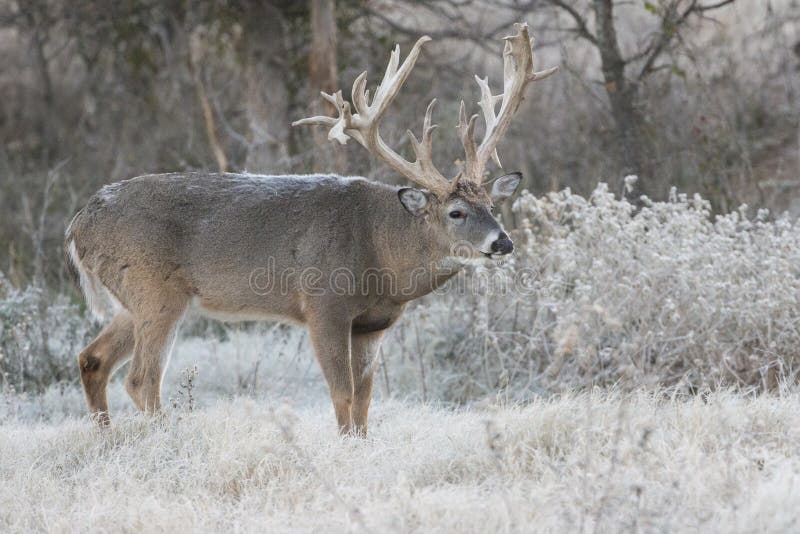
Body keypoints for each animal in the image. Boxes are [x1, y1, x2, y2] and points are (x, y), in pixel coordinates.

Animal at [65, 23, 556, 438]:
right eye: (455, 212)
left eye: (491, 206)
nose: (503, 241)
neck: (382, 255)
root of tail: (78, 224)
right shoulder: (324, 304)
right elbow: (342, 395)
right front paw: (342, 449)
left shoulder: (374, 324)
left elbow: (365, 400)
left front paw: (360, 445)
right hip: (155, 290)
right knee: (141, 379)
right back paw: (168, 441)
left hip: (134, 299)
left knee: (92, 359)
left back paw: (107, 440)